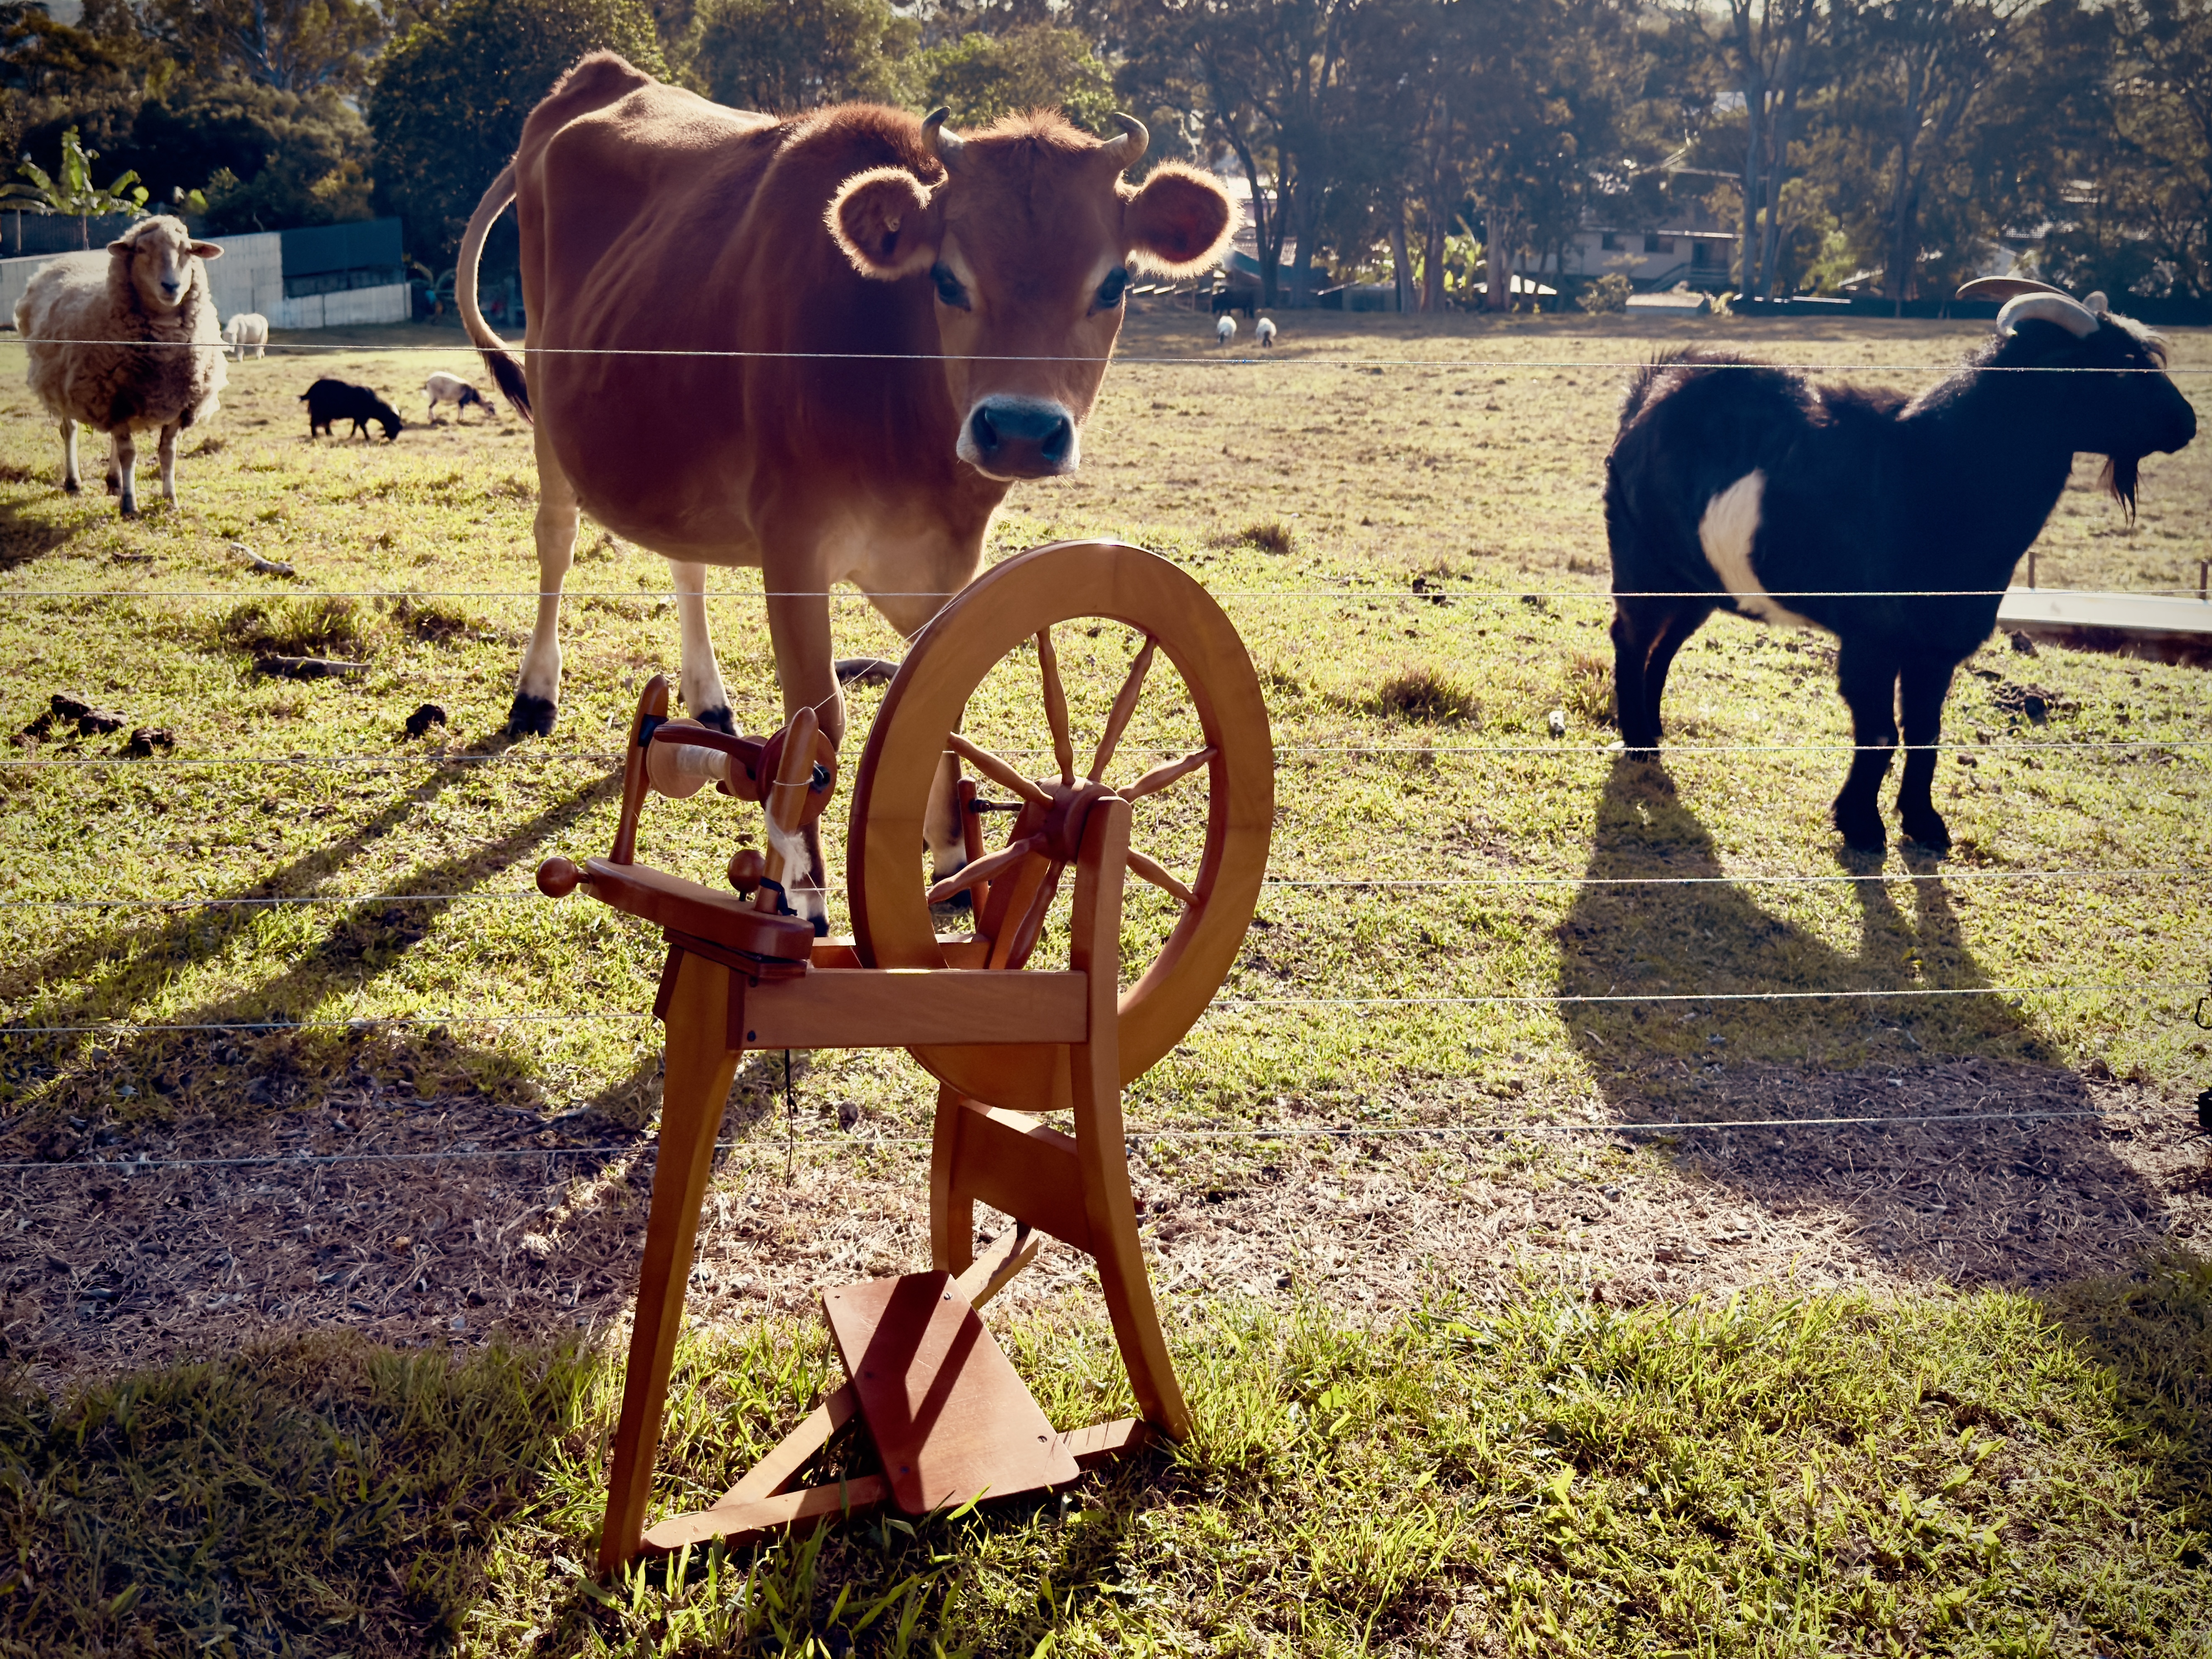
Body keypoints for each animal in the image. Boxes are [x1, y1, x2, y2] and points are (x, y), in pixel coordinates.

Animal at [14, 215, 228, 518]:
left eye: (188, 250)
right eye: (141, 250)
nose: (171, 286)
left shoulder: (177, 406)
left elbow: (167, 453)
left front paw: (170, 500)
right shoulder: (112, 402)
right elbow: (130, 454)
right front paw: (130, 505)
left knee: (114, 440)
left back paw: (114, 481)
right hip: (64, 388)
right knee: (70, 431)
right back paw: (74, 483)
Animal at [301, 377, 404, 441]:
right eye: (395, 424)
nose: (393, 438)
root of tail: (313, 389)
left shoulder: (358, 418)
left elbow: (355, 427)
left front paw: (352, 436)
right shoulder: (362, 418)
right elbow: (363, 427)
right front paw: (368, 437)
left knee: (326, 424)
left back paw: (330, 434)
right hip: (318, 412)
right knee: (314, 423)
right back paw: (315, 435)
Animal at [423, 370, 489, 422]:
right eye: (491, 408)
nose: (492, 416)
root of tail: (429, 381)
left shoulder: (459, 402)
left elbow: (459, 410)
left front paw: (458, 419)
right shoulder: (462, 402)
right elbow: (462, 411)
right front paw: (462, 419)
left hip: (432, 397)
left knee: (430, 406)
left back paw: (430, 418)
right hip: (435, 397)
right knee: (431, 407)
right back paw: (433, 419)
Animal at [456, 53, 1234, 927]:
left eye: (1113, 283)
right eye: (947, 280)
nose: (1020, 429)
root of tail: (598, 75)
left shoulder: (948, 568)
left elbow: (939, 700)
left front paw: (950, 856)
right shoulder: (793, 545)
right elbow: (817, 718)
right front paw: (799, 891)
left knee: (684, 558)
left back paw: (707, 696)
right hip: (548, 401)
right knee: (555, 536)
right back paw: (536, 692)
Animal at [1604, 280, 2196, 855]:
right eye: (2120, 365)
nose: (2186, 424)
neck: (1934, 469)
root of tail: (1649, 392)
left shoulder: (1936, 645)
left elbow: (1924, 731)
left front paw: (1924, 823)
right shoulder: (1872, 638)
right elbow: (1880, 733)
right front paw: (1862, 827)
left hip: (1696, 583)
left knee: (1662, 647)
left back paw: (1653, 732)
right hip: (1641, 564)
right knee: (1630, 639)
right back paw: (1638, 744)